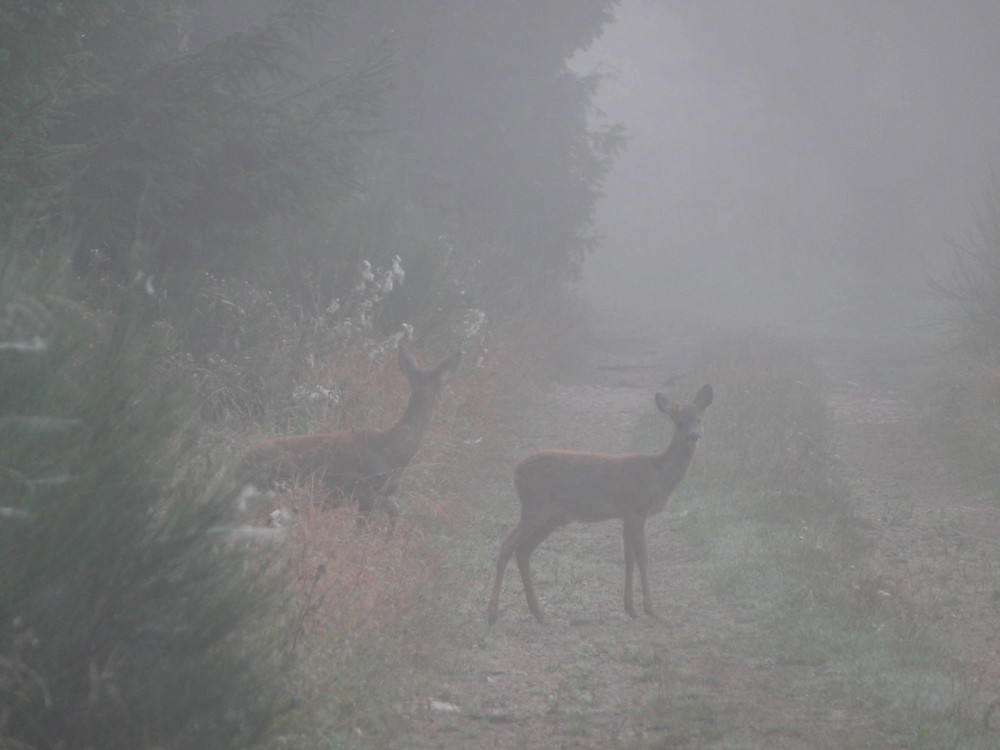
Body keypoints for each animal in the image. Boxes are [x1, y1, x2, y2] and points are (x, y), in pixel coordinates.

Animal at [242, 348, 460, 528]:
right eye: (441, 390)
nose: (440, 406)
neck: (394, 449)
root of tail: (243, 463)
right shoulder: (365, 492)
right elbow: (391, 512)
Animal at [484, 384, 712, 624]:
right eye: (679, 421)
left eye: (699, 418)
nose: (694, 435)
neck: (658, 474)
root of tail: (515, 471)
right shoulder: (637, 509)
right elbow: (643, 558)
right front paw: (651, 609)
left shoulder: (626, 513)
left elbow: (628, 558)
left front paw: (630, 608)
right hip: (534, 508)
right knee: (507, 546)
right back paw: (493, 612)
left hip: (550, 517)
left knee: (523, 550)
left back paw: (538, 612)